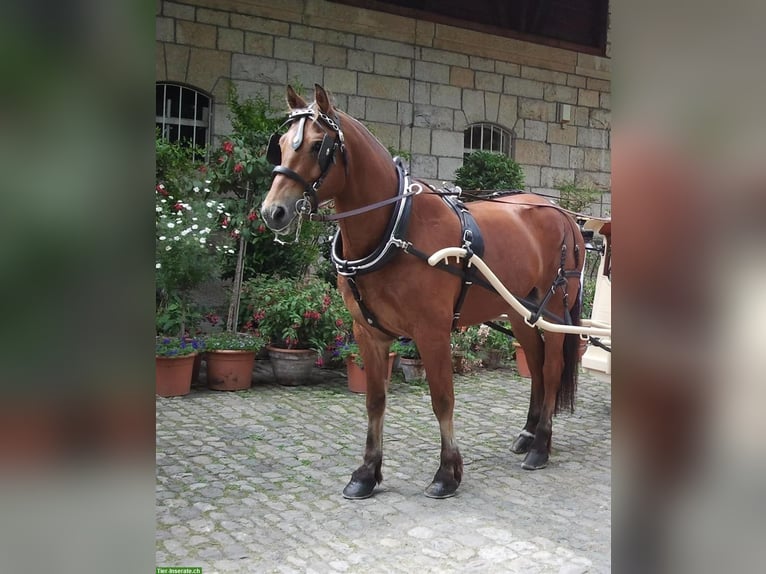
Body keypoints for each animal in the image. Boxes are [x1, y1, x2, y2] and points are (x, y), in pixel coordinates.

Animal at [261, 84, 586, 499]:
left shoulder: (432, 332)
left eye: (319, 145)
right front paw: (366, 473)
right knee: (537, 366)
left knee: (553, 366)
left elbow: (442, 399)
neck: (396, 228)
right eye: (281, 144)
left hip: (555, 309)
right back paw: (529, 435)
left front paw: (447, 473)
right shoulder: (368, 332)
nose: (273, 211)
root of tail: (562, 214)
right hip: (520, 311)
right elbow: (375, 402)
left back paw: (541, 446)